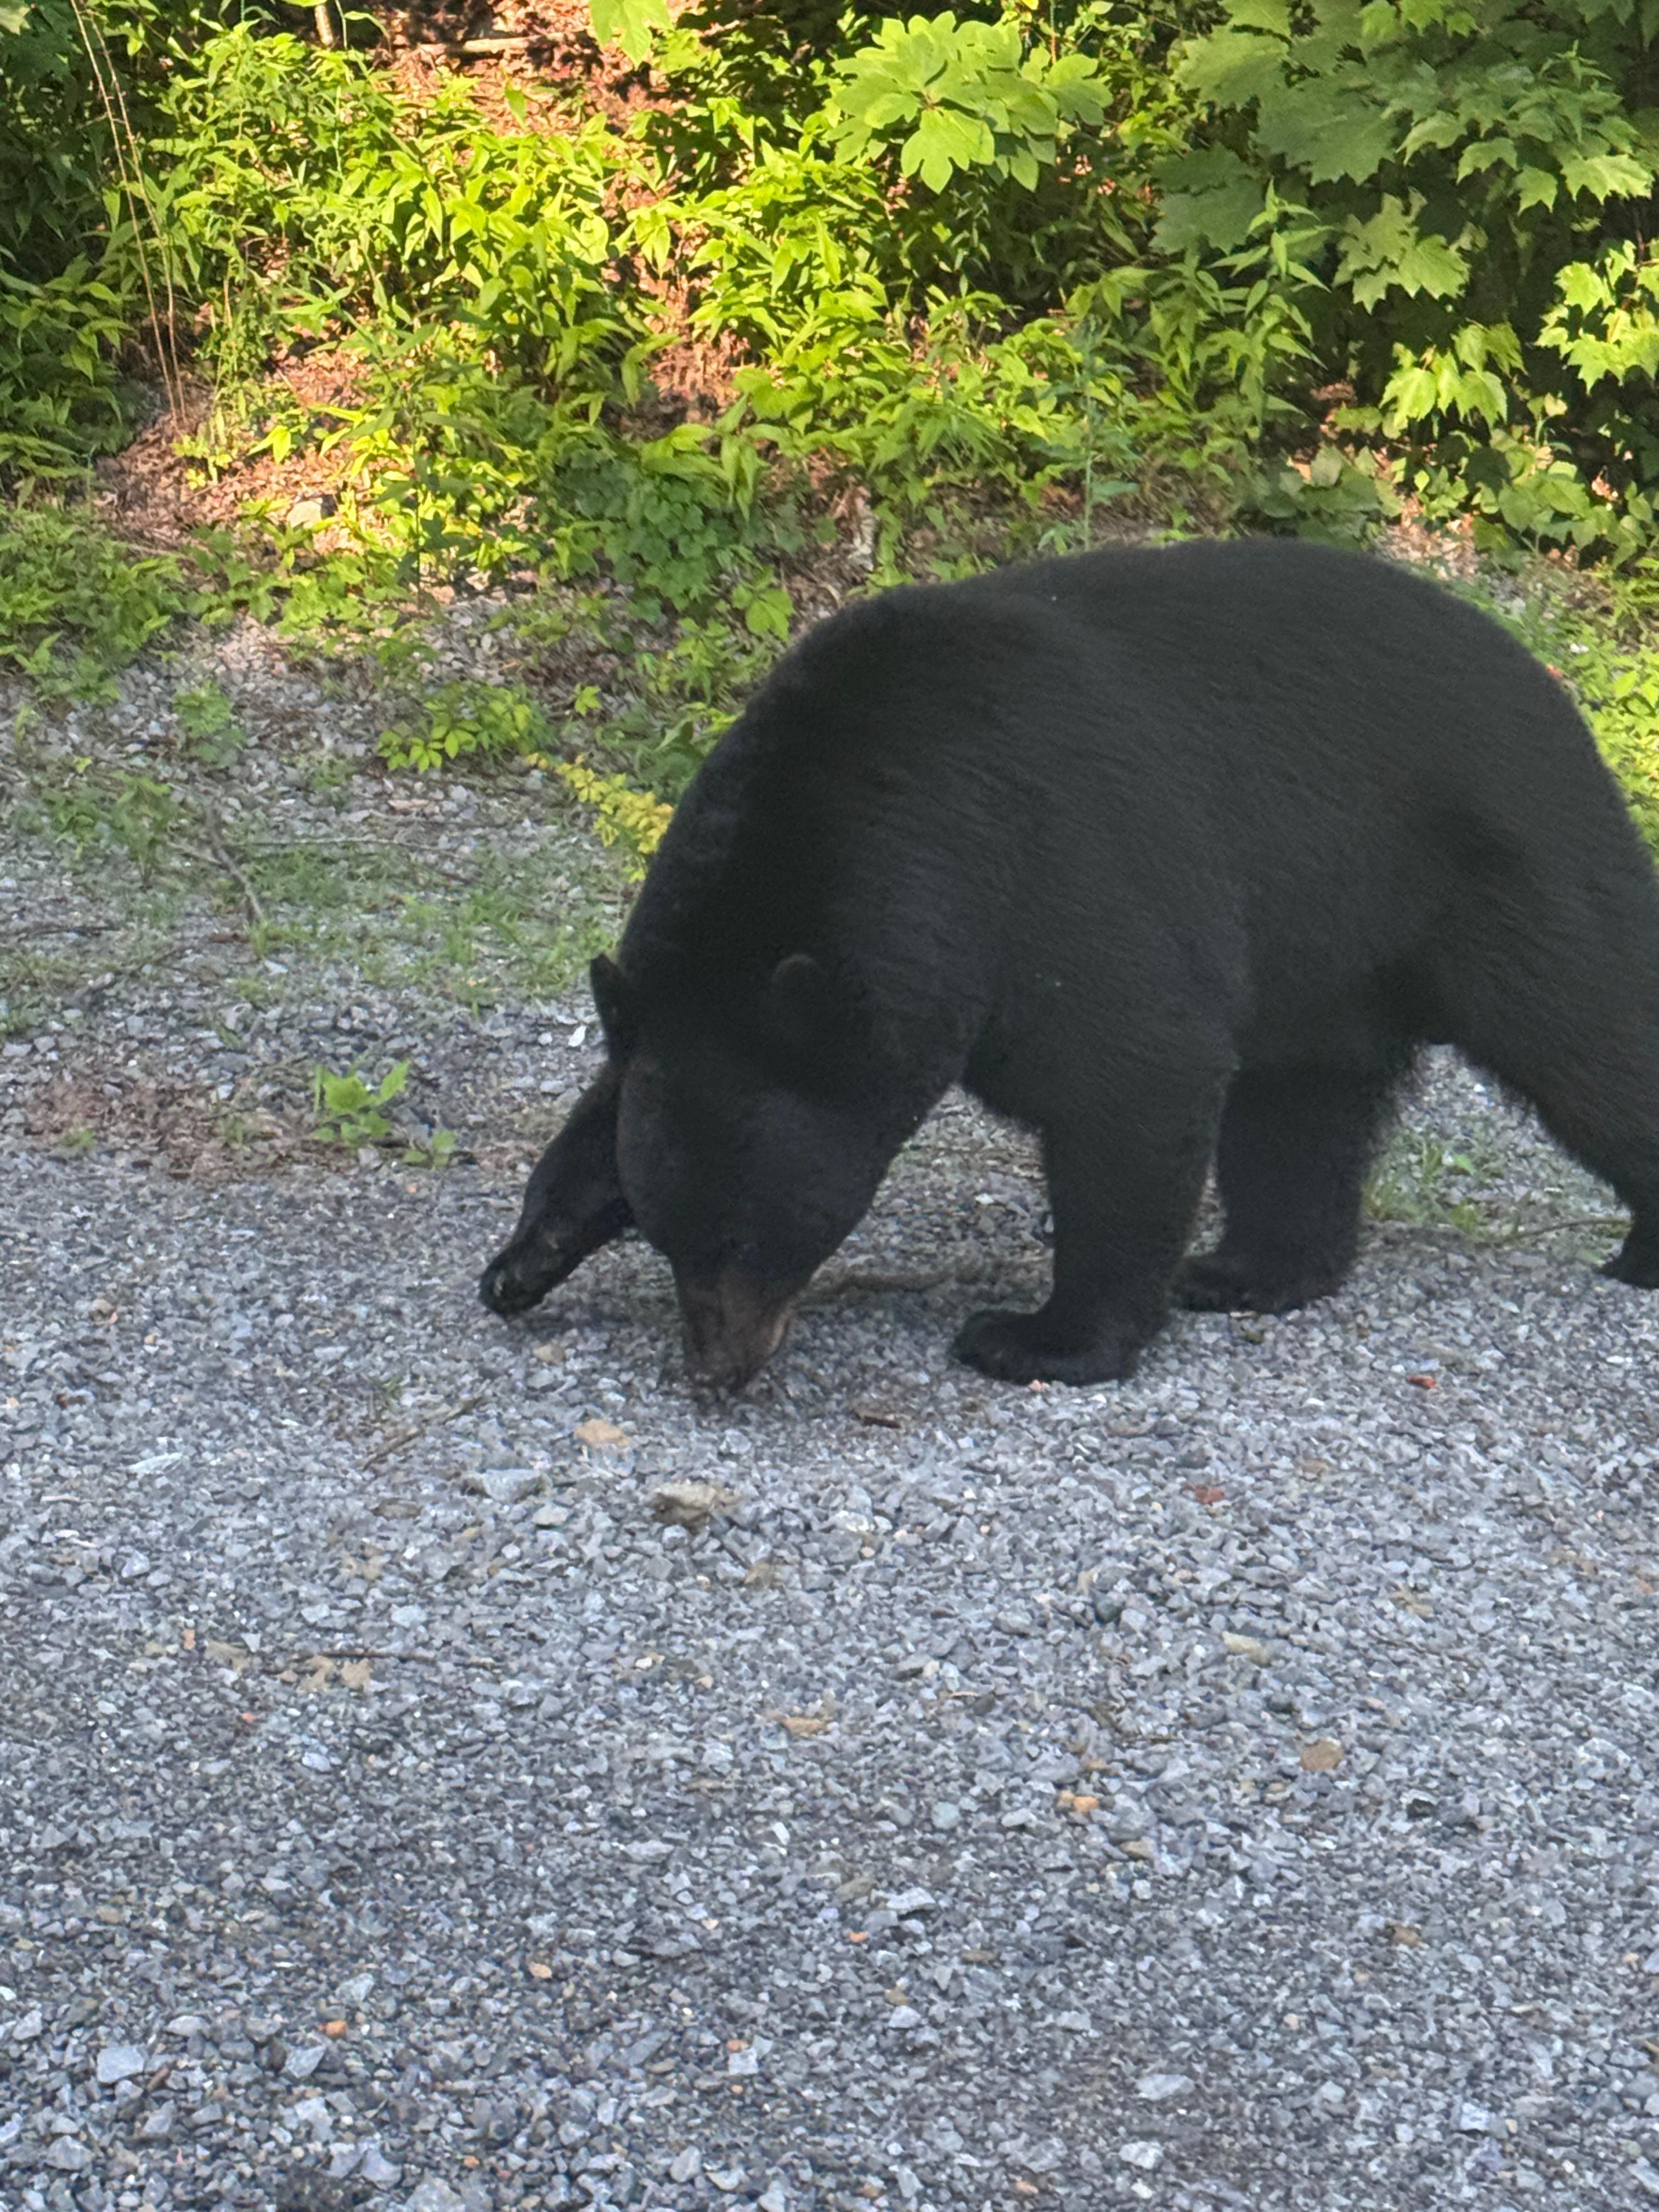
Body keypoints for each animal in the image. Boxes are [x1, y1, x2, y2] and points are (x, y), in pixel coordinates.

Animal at [480, 538, 1659, 1389]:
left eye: (750, 1229)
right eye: (669, 1232)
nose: (718, 1369)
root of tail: (1547, 684)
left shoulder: (1059, 880)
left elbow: (1133, 1078)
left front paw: (1037, 1337)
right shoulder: (696, 1000)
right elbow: (617, 1093)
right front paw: (524, 1254)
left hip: (1498, 871)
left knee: (1589, 1041)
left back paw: (1637, 1245)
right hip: (1326, 960)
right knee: (1299, 1107)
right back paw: (1245, 1270)